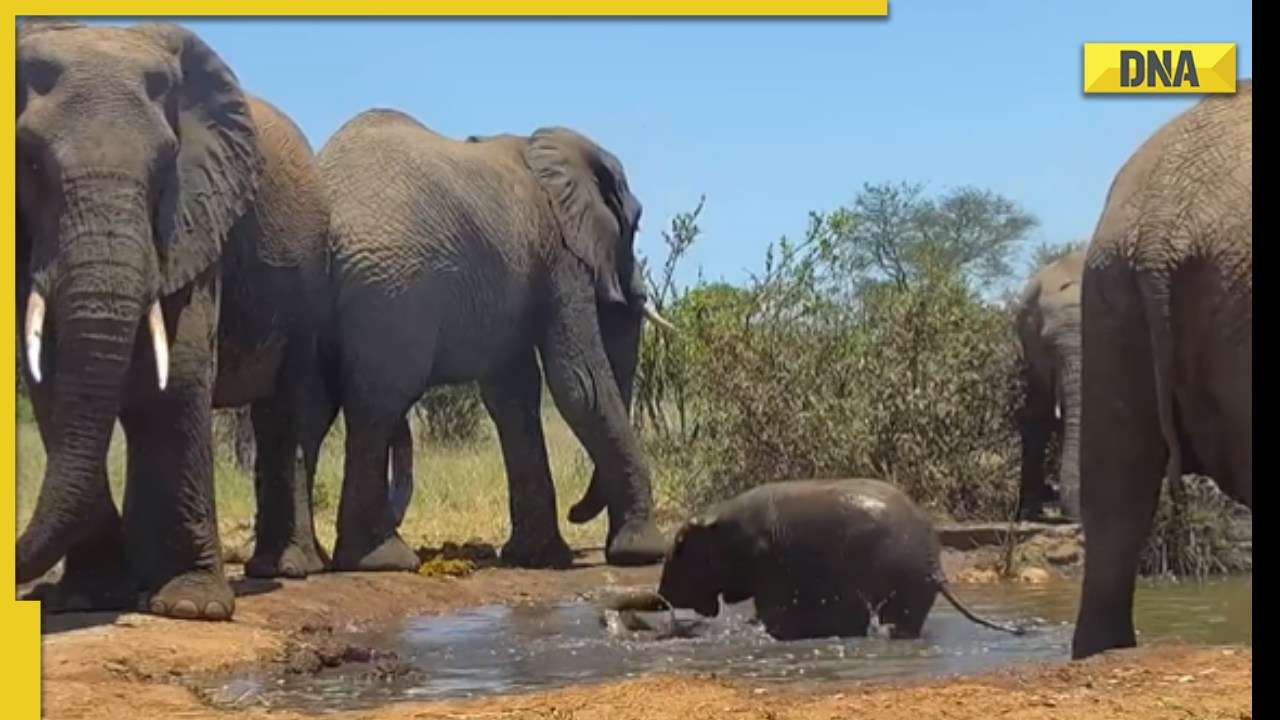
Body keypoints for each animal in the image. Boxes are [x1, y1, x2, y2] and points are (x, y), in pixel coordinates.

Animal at [16, 21, 330, 619]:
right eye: (32, 164)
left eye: (166, 167)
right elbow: (49, 380)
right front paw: (87, 598)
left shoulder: (200, 216)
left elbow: (179, 371)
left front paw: (190, 608)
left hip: (310, 274)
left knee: (285, 413)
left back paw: (284, 569)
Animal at [310, 112, 672, 572]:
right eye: (635, 224)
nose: (577, 511)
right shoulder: (559, 253)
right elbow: (580, 384)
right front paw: (643, 553)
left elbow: (512, 395)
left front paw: (537, 557)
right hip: (389, 291)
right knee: (379, 405)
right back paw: (381, 559)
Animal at [648, 479, 1024, 640]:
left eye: (679, 547)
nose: (662, 596)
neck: (719, 517)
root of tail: (938, 569)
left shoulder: (769, 564)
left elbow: (771, 606)